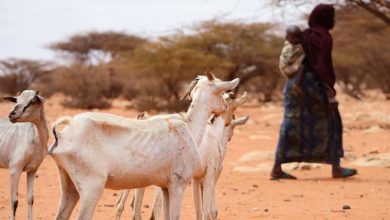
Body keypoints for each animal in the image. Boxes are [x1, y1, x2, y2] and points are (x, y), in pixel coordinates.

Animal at [0, 90, 48, 220]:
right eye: (17, 100)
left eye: (32, 101)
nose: (11, 114)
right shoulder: (15, 170)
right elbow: (14, 202)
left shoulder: (32, 170)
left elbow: (30, 199)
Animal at [48, 71, 238, 220]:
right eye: (221, 92)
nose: (223, 110)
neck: (188, 128)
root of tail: (67, 130)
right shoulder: (178, 184)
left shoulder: (165, 187)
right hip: (92, 189)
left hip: (69, 188)